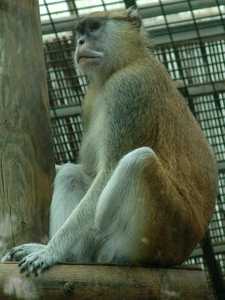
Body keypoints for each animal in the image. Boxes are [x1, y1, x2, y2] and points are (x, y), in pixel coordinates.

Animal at [0, 7, 217, 276]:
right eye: (80, 31)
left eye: (94, 27)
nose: (81, 42)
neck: (126, 60)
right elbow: (86, 170)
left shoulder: (127, 89)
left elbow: (107, 173)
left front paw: (51, 252)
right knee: (72, 175)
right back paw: (73, 256)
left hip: (158, 232)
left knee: (139, 161)